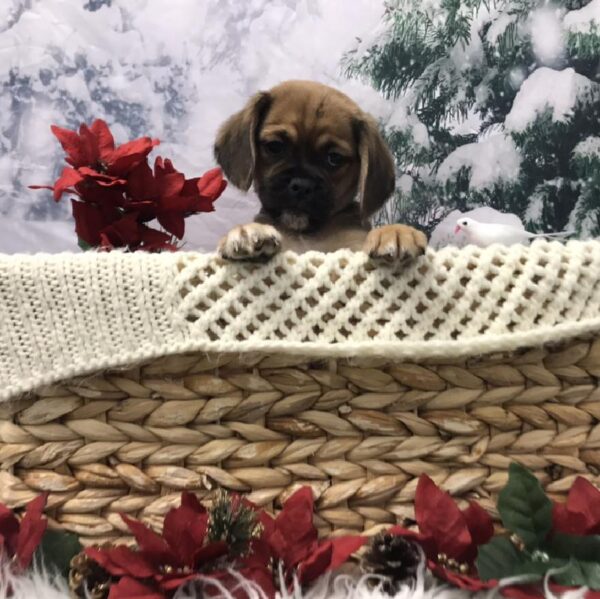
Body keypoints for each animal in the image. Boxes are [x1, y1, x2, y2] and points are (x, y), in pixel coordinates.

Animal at [213, 81, 424, 262]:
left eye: (334, 158)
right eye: (275, 146)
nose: (302, 185)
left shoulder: (352, 246)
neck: (305, 235)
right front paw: (251, 232)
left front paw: (395, 232)